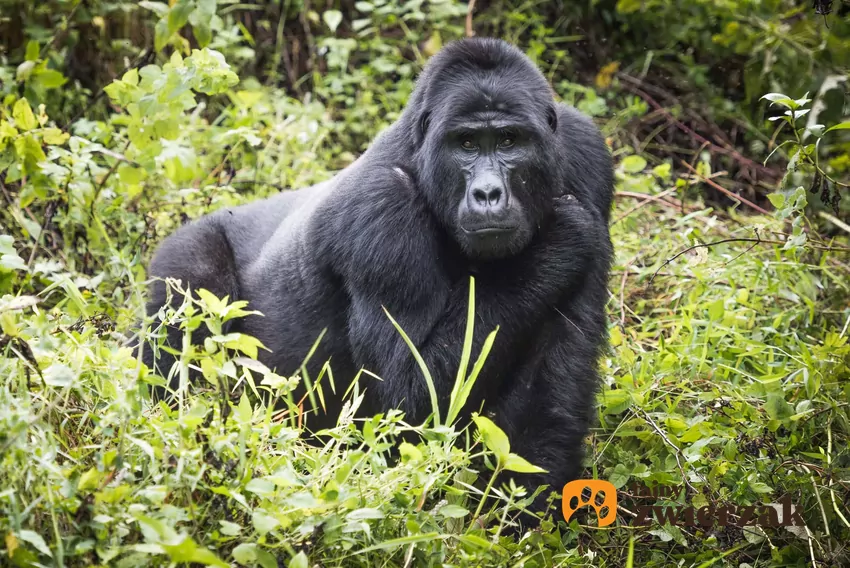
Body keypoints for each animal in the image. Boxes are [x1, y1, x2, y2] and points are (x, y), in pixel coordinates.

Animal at [142, 37, 612, 512]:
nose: (487, 193)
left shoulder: (586, 153)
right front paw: (559, 237)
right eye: (466, 144)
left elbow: (552, 378)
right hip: (182, 254)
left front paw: (527, 511)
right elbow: (406, 398)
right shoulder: (382, 206)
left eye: (509, 140)